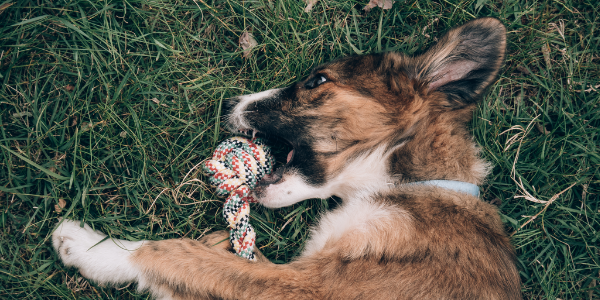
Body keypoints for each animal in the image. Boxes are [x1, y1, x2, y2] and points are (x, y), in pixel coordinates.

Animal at [52, 17, 520, 298]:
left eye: (316, 80)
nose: (228, 104)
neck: (410, 187)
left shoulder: (307, 288)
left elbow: (176, 255)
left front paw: (94, 247)